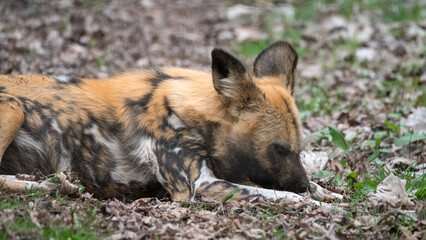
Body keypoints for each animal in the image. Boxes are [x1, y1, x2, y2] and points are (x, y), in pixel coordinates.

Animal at [0, 41, 312, 202]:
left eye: (299, 149)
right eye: (279, 149)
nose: (303, 184)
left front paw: (319, 192)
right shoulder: (199, 186)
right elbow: (279, 195)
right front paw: (314, 203)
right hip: (14, 108)